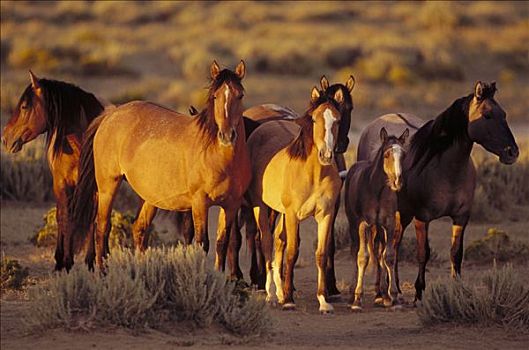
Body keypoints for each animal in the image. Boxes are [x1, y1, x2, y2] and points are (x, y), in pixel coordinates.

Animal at [1, 70, 105, 268]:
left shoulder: (94, 188)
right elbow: (66, 218)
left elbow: (92, 219)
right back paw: (59, 259)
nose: (5, 139)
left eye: (24, 106)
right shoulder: (62, 184)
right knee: (61, 216)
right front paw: (67, 261)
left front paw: (90, 261)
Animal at [71, 60, 251, 268]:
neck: (218, 157)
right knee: (102, 228)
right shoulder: (200, 203)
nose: (227, 135)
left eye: (240, 95)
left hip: (149, 197)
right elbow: (202, 243)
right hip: (108, 186)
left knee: (139, 229)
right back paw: (103, 271)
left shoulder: (230, 205)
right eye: (215, 96)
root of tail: (110, 114)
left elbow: (222, 243)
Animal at [356, 80, 516, 300]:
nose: (512, 152)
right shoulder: (422, 218)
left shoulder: (461, 218)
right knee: (381, 244)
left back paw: (394, 288)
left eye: (504, 114)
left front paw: (458, 290)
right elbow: (423, 253)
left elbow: (456, 253)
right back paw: (381, 291)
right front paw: (418, 293)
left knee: (394, 246)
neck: (446, 170)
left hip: (402, 215)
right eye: (487, 115)